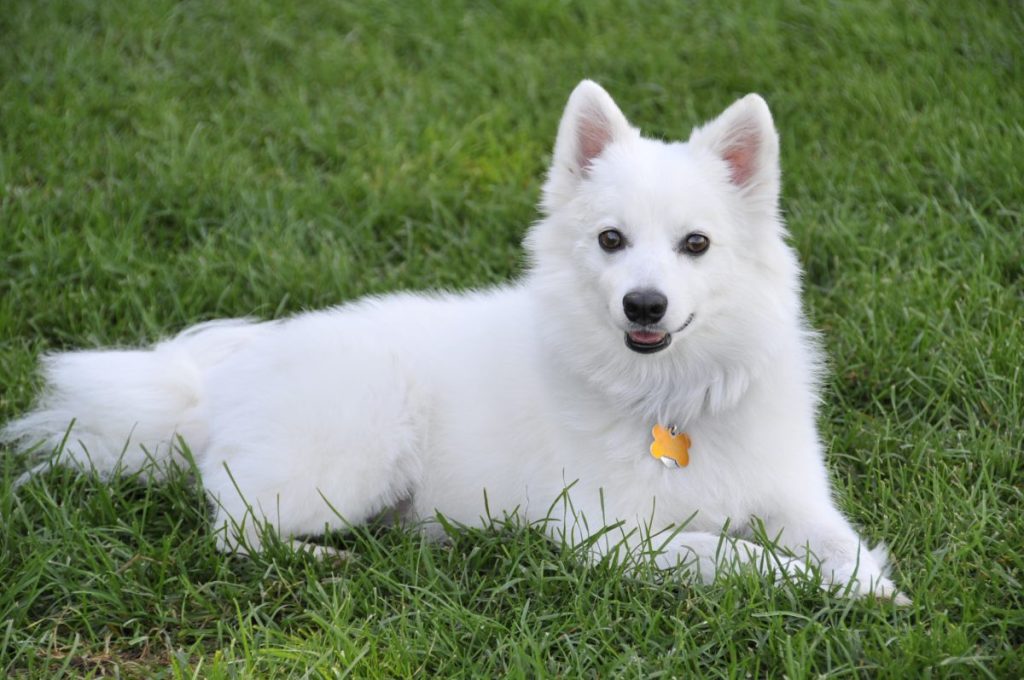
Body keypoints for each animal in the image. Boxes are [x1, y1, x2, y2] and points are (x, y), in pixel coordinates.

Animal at [6, 78, 905, 602]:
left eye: (696, 245)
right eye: (612, 240)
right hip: (357, 453)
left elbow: (840, 541)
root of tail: (212, 390)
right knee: (235, 530)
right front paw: (825, 585)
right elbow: (739, 557)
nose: (643, 306)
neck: (670, 397)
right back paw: (322, 560)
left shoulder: (795, 497)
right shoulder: (611, 536)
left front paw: (865, 581)